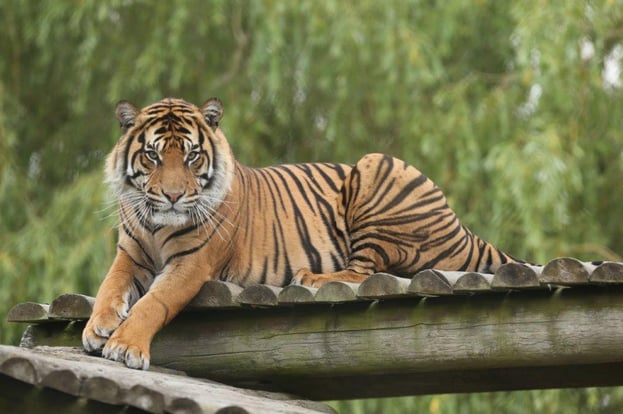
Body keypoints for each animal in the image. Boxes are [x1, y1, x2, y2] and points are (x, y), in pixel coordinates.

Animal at [81, 98, 520, 370]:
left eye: (192, 156)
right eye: (152, 155)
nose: (173, 196)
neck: (158, 225)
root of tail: (462, 227)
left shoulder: (192, 264)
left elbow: (154, 303)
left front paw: (124, 345)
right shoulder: (130, 252)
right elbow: (109, 285)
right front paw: (97, 326)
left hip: (376, 167)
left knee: (363, 271)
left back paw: (312, 278)